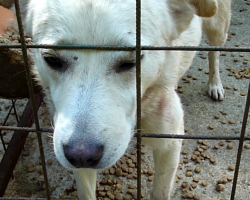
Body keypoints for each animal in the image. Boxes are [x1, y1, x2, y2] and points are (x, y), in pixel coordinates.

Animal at [4, 0, 230, 199]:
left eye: (130, 62)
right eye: (52, 60)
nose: (81, 154)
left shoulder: (169, 143)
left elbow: (160, 192)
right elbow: (86, 193)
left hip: (218, 25)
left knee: (215, 53)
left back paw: (215, 84)